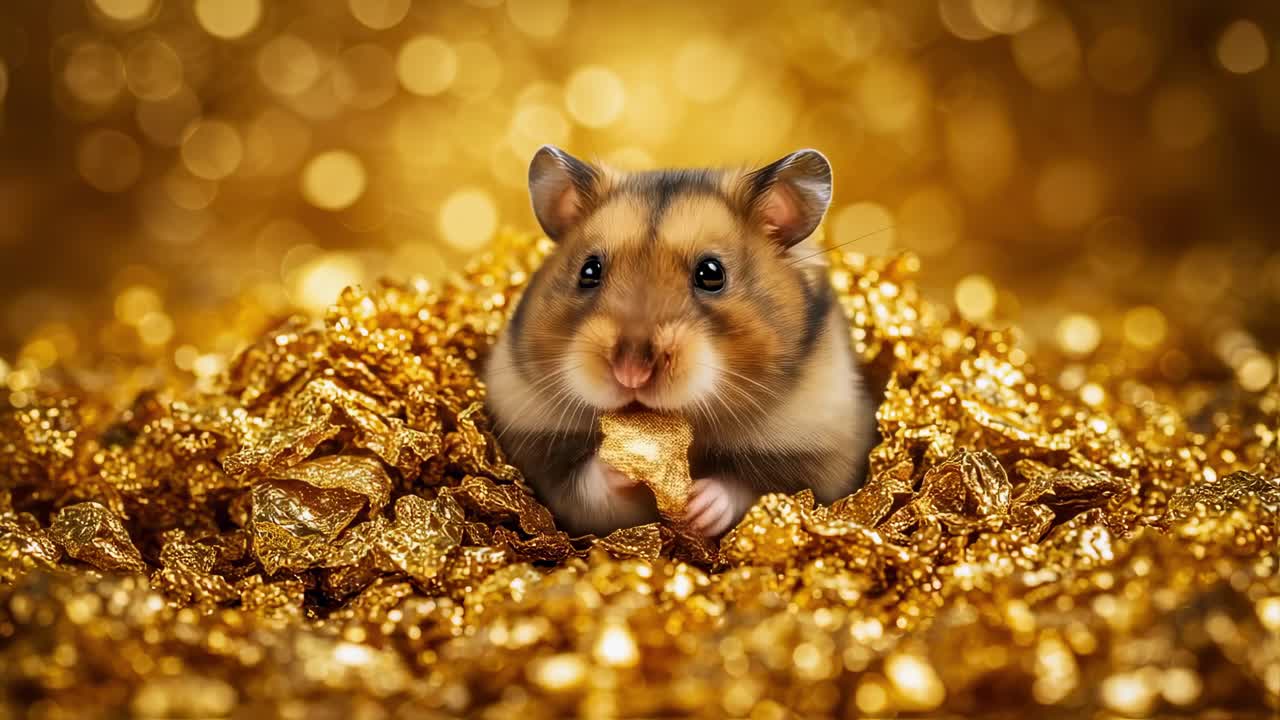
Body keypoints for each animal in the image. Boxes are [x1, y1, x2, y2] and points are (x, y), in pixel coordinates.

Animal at [483, 146, 877, 538]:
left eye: (712, 273)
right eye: (589, 270)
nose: (630, 373)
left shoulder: (820, 456)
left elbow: (755, 488)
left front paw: (701, 506)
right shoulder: (540, 457)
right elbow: (583, 488)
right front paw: (620, 465)